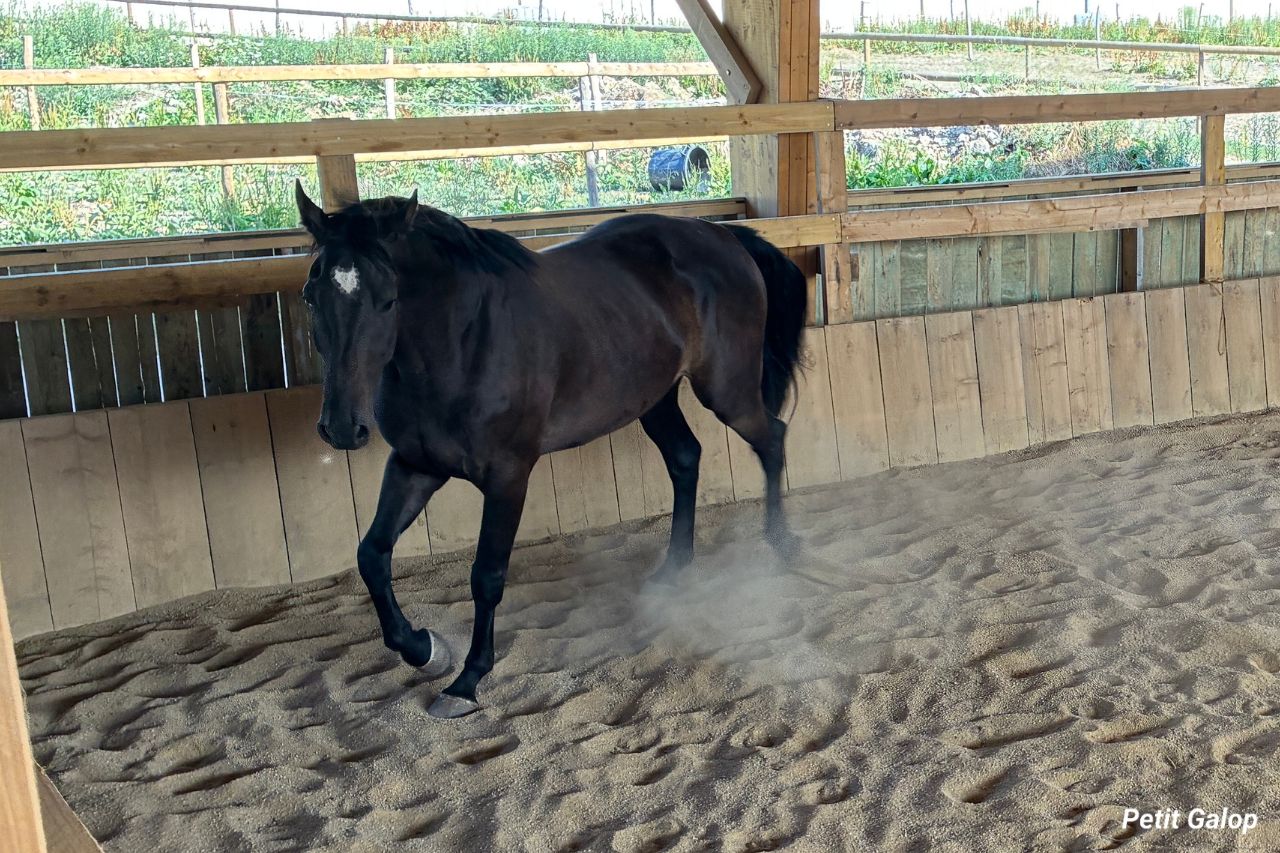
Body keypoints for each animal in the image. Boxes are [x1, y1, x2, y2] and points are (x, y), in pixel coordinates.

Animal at [294, 182, 807, 718]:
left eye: (388, 300)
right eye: (311, 294)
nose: (342, 428)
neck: (462, 343)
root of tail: (724, 237)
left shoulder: (508, 476)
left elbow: (487, 575)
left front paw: (467, 681)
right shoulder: (415, 465)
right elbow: (371, 555)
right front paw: (424, 648)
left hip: (726, 390)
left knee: (771, 438)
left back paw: (780, 545)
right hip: (655, 399)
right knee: (686, 459)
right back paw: (673, 569)